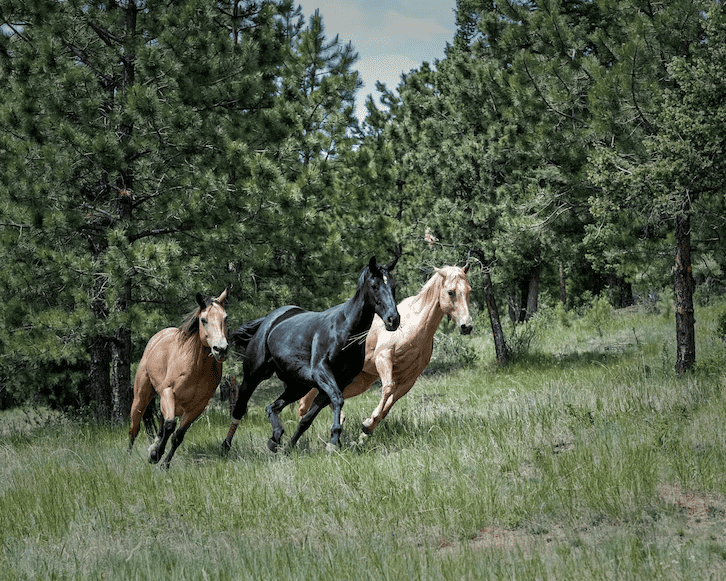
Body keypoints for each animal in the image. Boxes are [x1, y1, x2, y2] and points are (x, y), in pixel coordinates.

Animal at [129, 289, 229, 467]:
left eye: (225, 318)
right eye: (203, 320)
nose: (221, 349)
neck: (196, 367)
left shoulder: (197, 407)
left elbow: (178, 435)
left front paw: (163, 463)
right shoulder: (168, 392)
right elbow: (170, 426)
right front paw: (155, 455)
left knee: (161, 424)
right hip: (141, 398)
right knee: (134, 428)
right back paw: (128, 458)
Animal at [221, 257, 400, 453]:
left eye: (393, 285)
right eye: (374, 285)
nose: (393, 319)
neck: (344, 330)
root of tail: (268, 321)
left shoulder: (337, 382)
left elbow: (307, 418)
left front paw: (290, 447)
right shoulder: (321, 372)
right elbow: (337, 399)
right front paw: (334, 440)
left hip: (298, 386)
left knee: (272, 407)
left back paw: (275, 438)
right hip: (253, 375)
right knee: (239, 409)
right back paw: (225, 446)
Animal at [298, 264, 472, 436]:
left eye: (469, 290)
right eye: (450, 292)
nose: (467, 326)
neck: (413, 327)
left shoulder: (410, 378)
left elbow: (391, 401)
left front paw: (368, 427)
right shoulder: (383, 358)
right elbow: (387, 388)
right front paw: (369, 423)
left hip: (359, 381)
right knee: (305, 402)